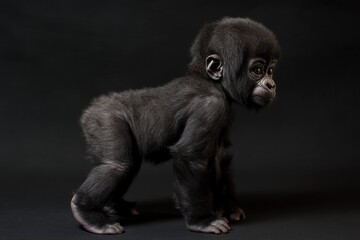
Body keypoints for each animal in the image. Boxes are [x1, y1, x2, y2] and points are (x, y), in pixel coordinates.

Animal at [69, 17, 278, 234]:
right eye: (257, 70)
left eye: (271, 71)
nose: (271, 84)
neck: (212, 82)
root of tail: (90, 109)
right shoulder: (211, 106)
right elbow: (191, 157)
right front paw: (201, 220)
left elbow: (219, 157)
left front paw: (228, 207)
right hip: (104, 119)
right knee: (117, 166)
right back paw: (87, 212)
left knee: (128, 164)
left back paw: (114, 205)